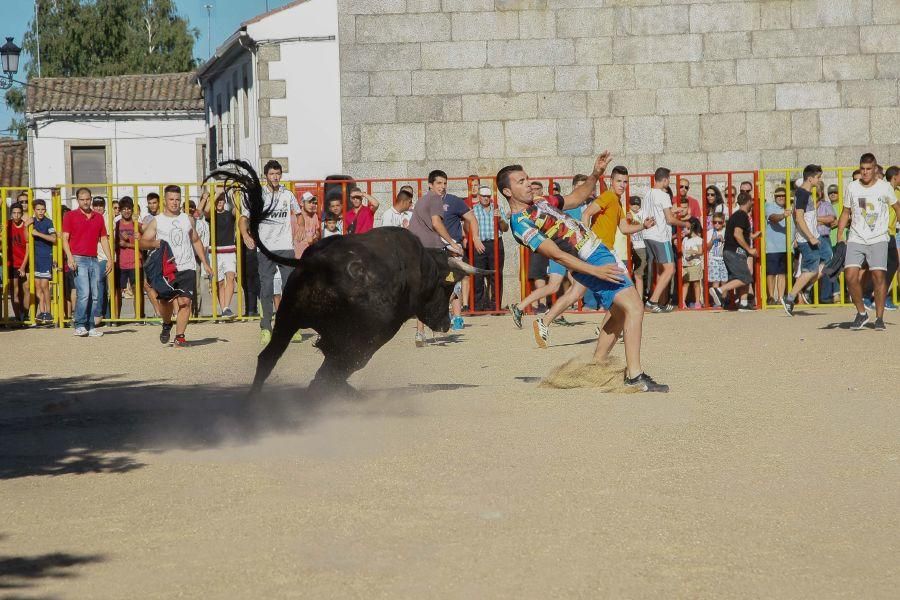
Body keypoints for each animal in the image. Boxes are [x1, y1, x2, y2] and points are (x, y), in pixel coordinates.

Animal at [207, 161, 492, 394]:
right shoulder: (374, 332)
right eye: (447, 288)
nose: (445, 324)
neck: (422, 266)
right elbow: (343, 365)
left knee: (269, 358)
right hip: (356, 330)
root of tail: (318, 262)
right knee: (335, 366)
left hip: (288, 317)